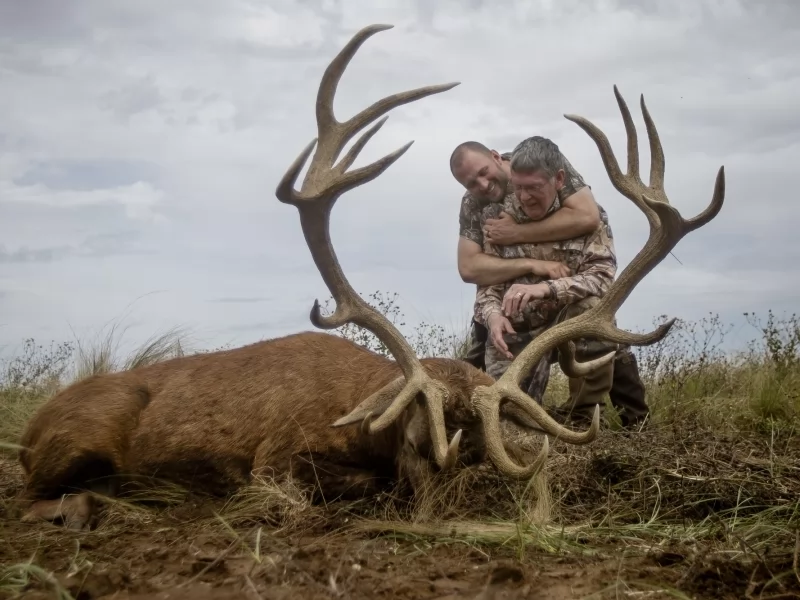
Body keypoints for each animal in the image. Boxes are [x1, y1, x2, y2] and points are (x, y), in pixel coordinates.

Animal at [15, 24, 724, 531]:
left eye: (472, 447)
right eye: (425, 432)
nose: (440, 500)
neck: (358, 417)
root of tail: (28, 429)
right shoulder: (271, 459)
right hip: (76, 442)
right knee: (33, 497)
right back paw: (97, 506)